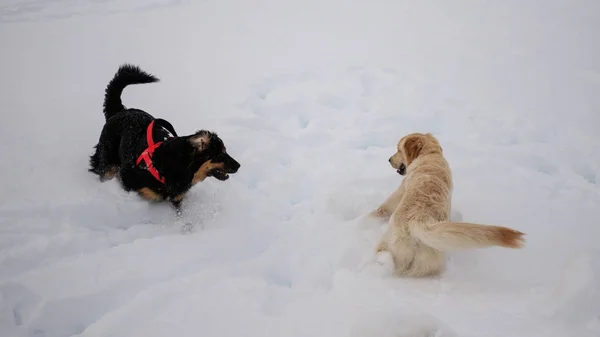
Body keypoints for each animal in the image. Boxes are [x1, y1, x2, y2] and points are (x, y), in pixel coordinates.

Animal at [89, 63, 239, 213]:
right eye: (220, 155)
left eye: (225, 151)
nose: (239, 165)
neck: (179, 164)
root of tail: (121, 110)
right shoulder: (128, 179)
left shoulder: (177, 197)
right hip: (108, 162)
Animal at [370, 131, 524, 276]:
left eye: (398, 149)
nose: (389, 159)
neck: (430, 154)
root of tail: (419, 220)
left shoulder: (400, 191)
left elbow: (382, 208)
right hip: (428, 262)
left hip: (390, 242)